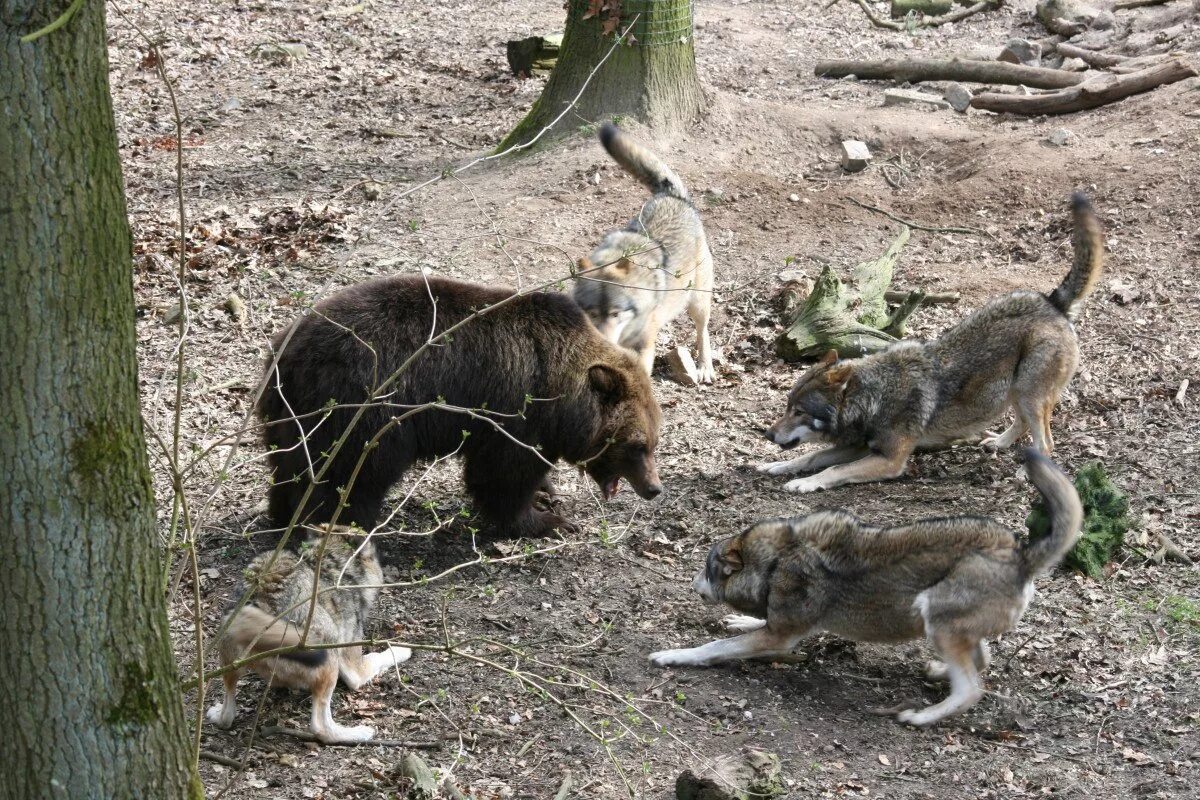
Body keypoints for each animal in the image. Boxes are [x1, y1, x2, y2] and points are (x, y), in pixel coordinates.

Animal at [205, 525, 408, 743]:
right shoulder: (355, 667)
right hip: (329, 650)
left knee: (227, 714)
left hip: (228, 662)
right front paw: (403, 649)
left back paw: (216, 714)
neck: (337, 567)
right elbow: (380, 657)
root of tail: (263, 600)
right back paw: (359, 733)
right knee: (320, 727)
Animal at [259, 272, 667, 534]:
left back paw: (283, 516)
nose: (653, 489)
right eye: (636, 445)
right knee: (351, 475)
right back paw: (344, 526)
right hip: (363, 408)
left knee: (290, 467)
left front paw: (547, 493)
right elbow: (502, 476)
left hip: (289, 413)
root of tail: (286, 351)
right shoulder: (515, 416)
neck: (562, 399)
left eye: (652, 443)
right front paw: (547, 521)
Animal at [568, 125, 710, 383]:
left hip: (698, 302)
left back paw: (705, 366)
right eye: (593, 313)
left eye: (616, 314)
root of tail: (672, 196)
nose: (606, 343)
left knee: (703, 331)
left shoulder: (643, 347)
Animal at [652, 448, 1084, 729]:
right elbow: (750, 625)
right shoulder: (782, 628)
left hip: (932, 613)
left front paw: (673, 655)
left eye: (706, 570)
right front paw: (738, 620)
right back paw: (937, 671)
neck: (775, 561)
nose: (691, 583)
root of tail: (1022, 554)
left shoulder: (781, 637)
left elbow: (714, 648)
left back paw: (920, 717)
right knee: (982, 661)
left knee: (971, 690)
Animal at [758, 194, 1104, 494]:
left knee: (1045, 443)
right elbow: (811, 456)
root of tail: (1052, 302)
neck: (874, 396)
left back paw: (1024, 472)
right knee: (1021, 426)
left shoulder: (890, 459)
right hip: (1015, 393)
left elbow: (831, 469)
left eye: (799, 411)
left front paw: (804, 483)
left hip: (1030, 395)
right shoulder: (856, 446)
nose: (768, 433)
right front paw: (777, 466)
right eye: (787, 407)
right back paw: (999, 444)